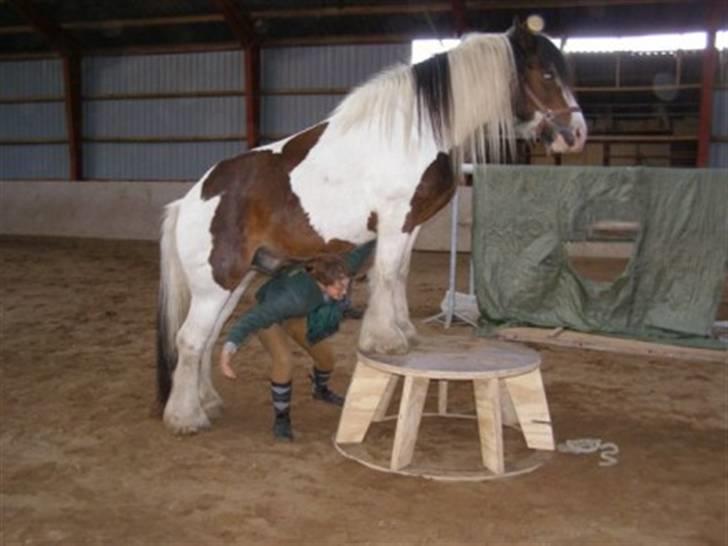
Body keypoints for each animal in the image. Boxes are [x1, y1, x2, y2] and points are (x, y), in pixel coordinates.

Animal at [158, 23, 584, 434]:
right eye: (547, 73)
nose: (577, 133)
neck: (416, 133)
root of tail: (190, 200)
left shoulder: (410, 224)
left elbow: (399, 275)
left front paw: (404, 331)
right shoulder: (396, 220)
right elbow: (388, 274)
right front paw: (386, 340)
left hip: (237, 281)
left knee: (208, 338)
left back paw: (208, 402)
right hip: (215, 284)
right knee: (190, 340)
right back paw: (185, 418)